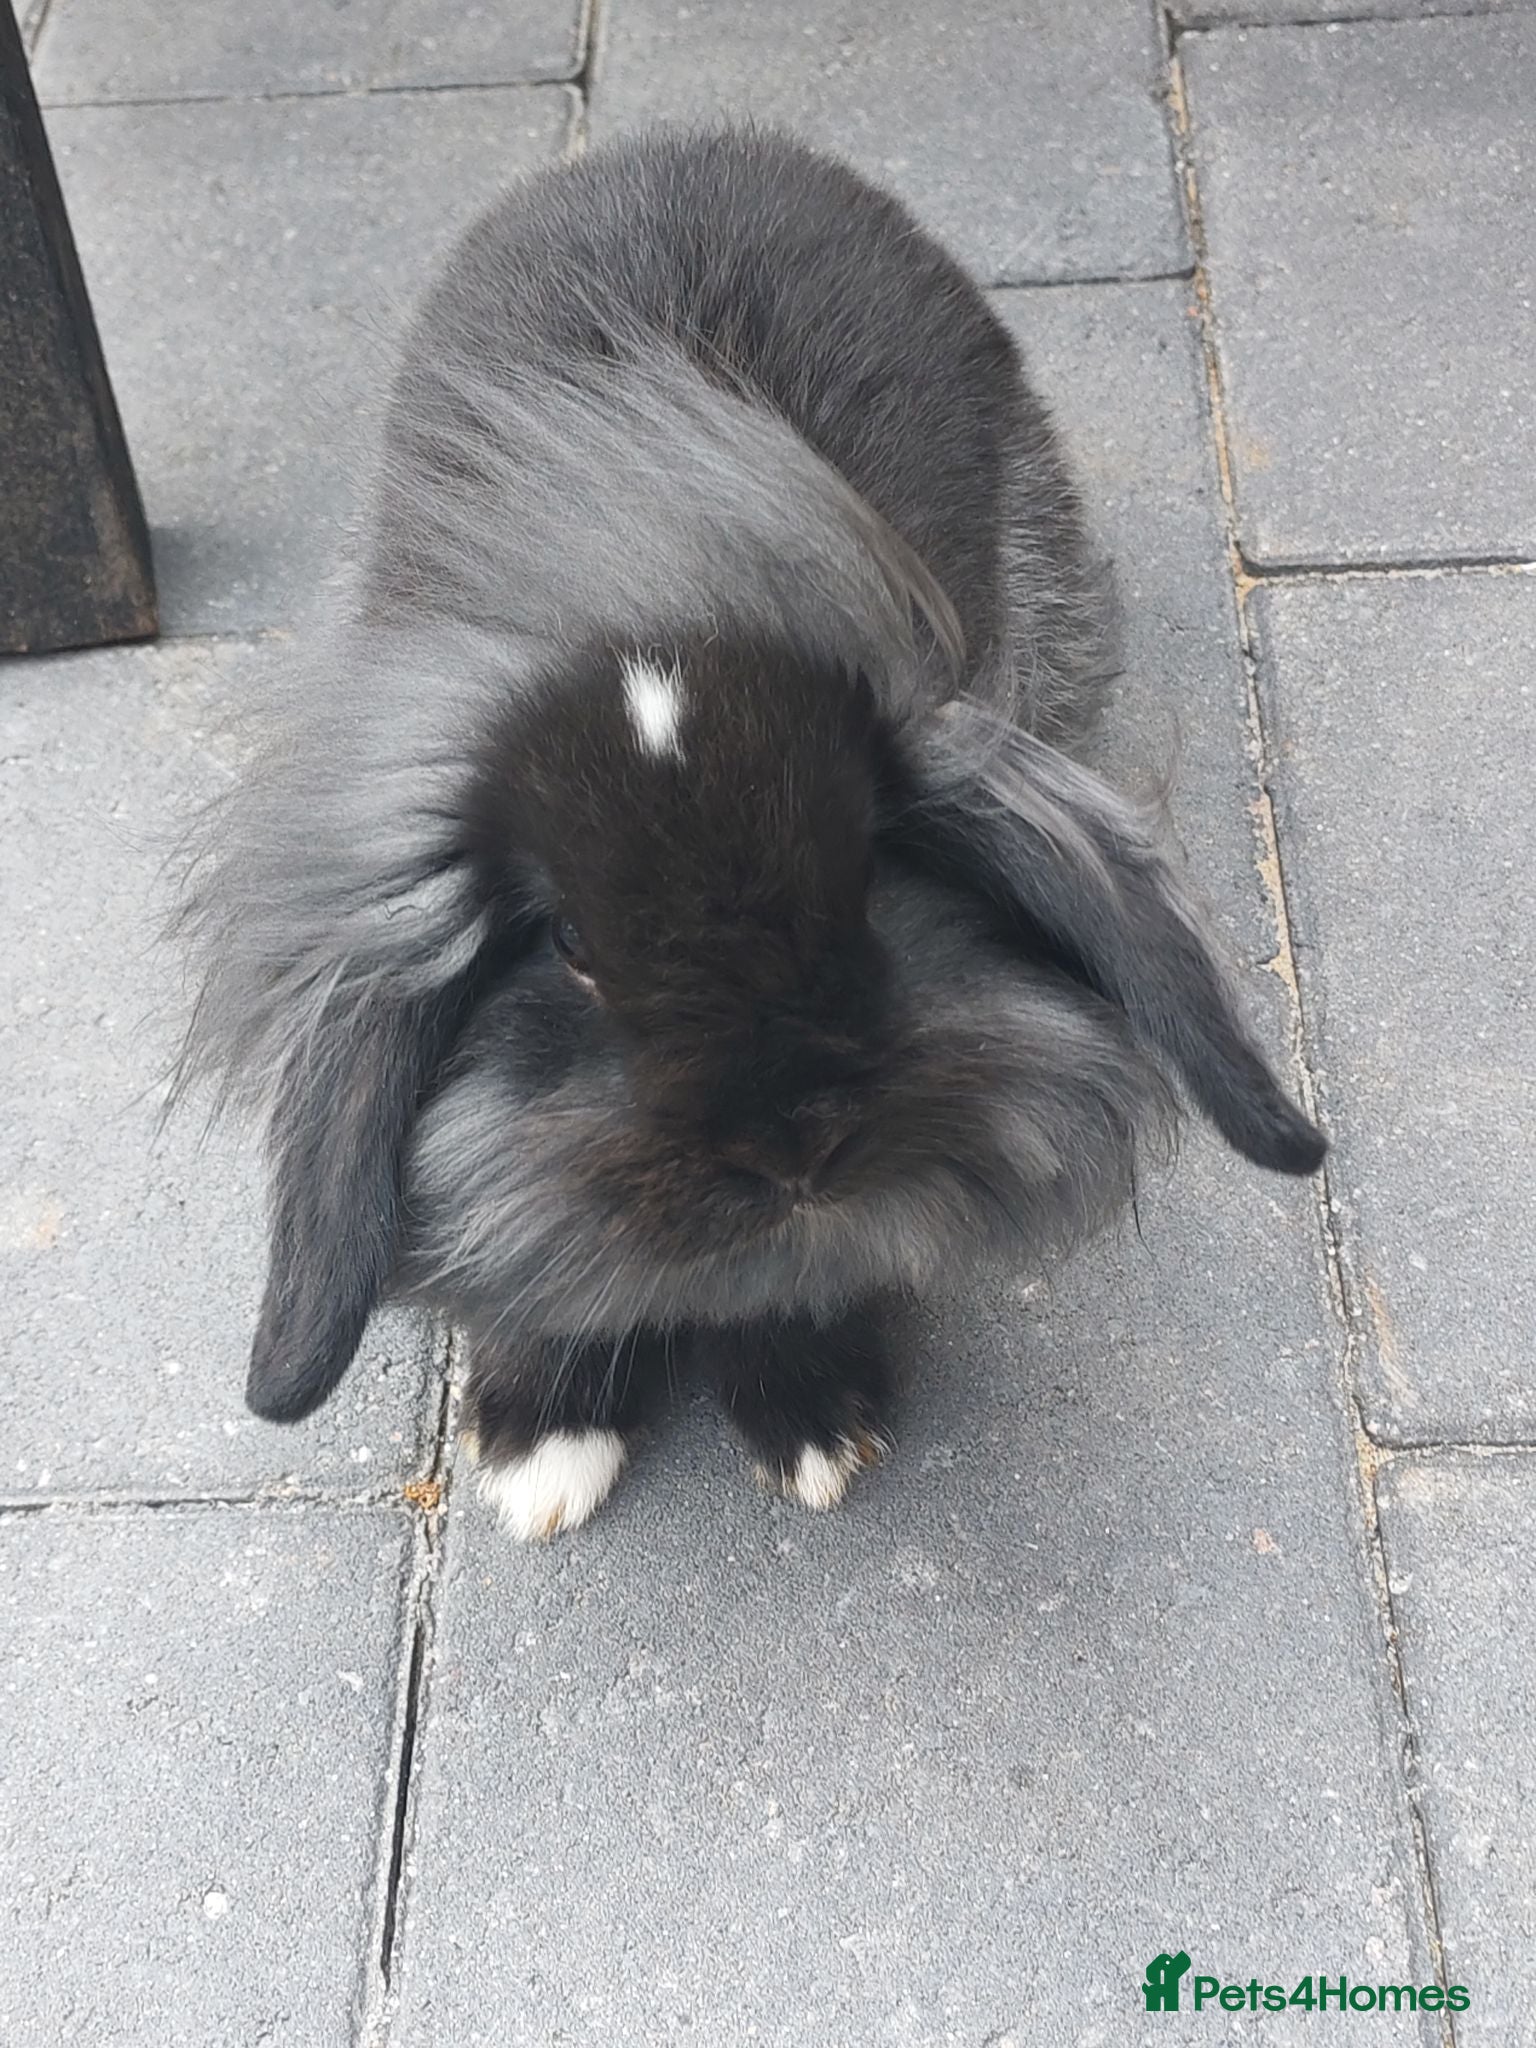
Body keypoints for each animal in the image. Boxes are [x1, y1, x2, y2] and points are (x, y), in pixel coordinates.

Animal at [176, 125, 1325, 1541]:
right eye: (569, 942)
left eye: (871, 873)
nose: (793, 1144)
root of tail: (690, 142)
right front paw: (541, 1440)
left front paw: (811, 1419)